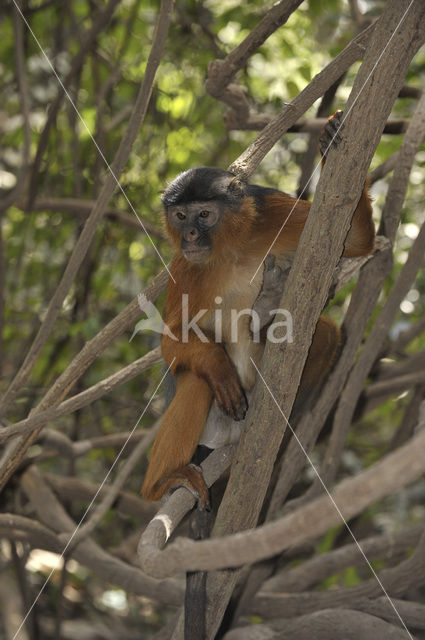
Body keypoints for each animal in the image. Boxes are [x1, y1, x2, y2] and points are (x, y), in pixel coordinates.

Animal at [141, 111, 372, 510]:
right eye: (181, 216)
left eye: (204, 214)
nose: (190, 236)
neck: (231, 249)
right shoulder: (184, 266)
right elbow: (171, 342)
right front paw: (218, 366)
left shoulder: (270, 212)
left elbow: (356, 243)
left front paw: (329, 139)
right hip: (216, 425)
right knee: (197, 381)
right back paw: (162, 483)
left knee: (326, 333)